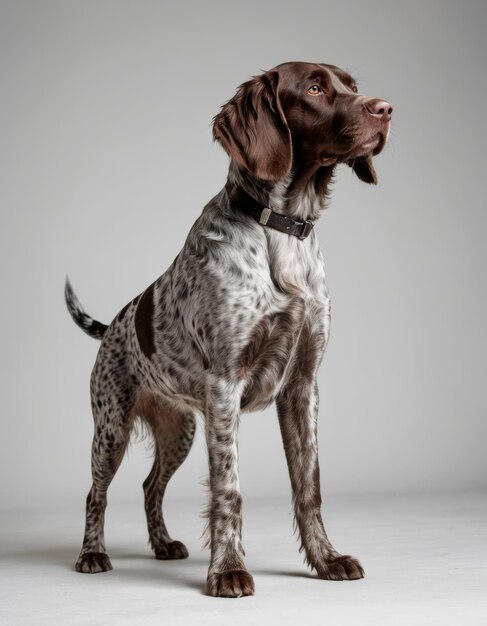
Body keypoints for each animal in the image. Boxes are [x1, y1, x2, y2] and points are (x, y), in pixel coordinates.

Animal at [65, 62, 392, 596]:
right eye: (315, 88)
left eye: (353, 86)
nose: (386, 109)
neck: (283, 231)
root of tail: (113, 324)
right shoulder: (225, 386)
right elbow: (228, 489)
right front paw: (228, 571)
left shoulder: (302, 387)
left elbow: (309, 486)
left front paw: (325, 560)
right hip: (110, 427)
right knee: (96, 493)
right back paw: (92, 554)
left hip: (178, 430)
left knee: (150, 485)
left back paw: (162, 544)